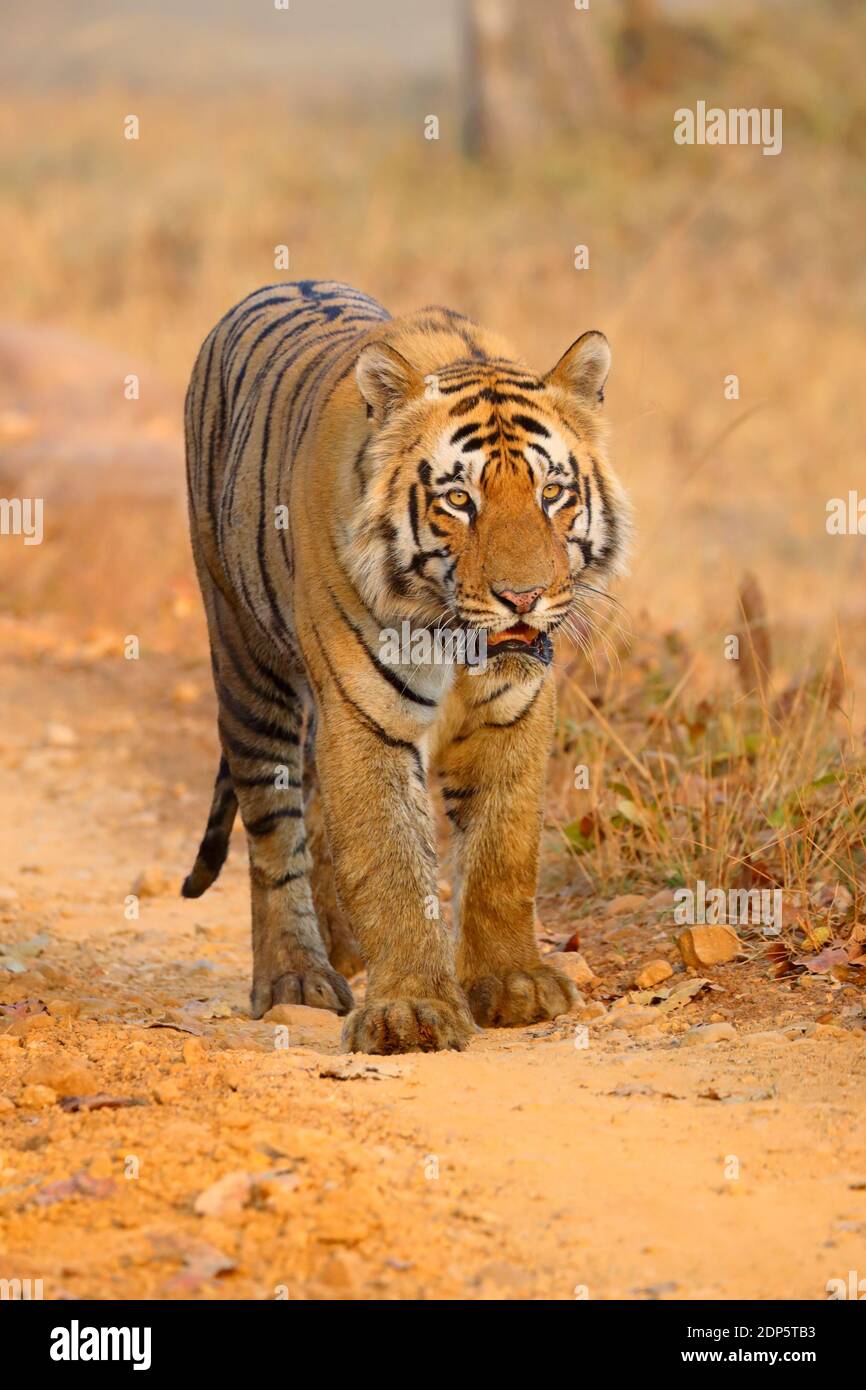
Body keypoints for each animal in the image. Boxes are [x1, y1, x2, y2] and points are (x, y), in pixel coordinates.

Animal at [183, 279, 631, 1050]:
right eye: (458, 499)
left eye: (552, 493)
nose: (523, 597)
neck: (453, 639)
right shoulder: (366, 716)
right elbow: (391, 861)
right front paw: (412, 1011)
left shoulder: (513, 712)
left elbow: (502, 856)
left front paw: (514, 984)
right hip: (246, 664)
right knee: (273, 833)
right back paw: (295, 976)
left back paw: (341, 949)